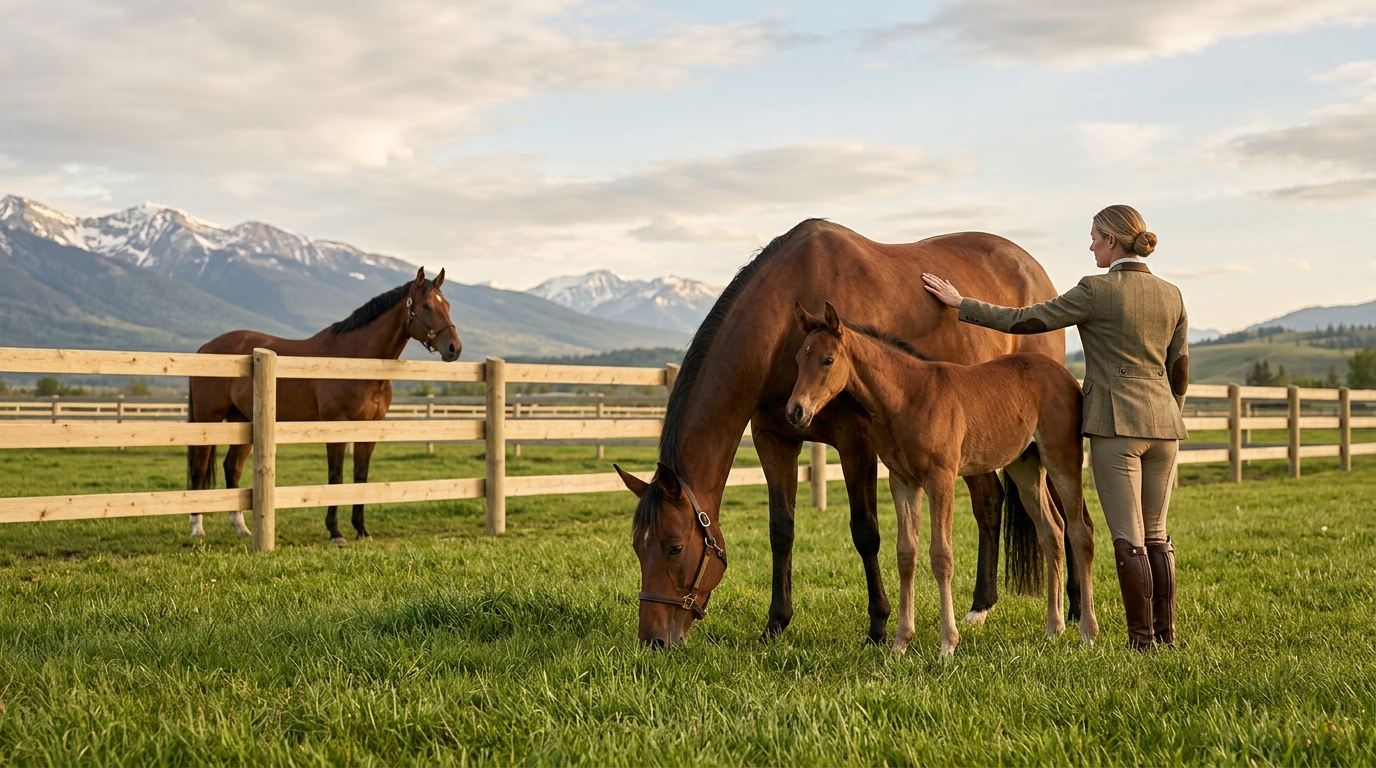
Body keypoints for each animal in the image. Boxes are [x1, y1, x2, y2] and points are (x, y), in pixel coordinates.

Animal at [187, 267, 461, 543]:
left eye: (448, 305)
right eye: (426, 306)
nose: (454, 348)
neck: (355, 361)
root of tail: (206, 347)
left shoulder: (369, 429)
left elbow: (360, 476)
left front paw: (361, 529)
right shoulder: (336, 426)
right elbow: (335, 477)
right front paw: (335, 531)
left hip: (242, 420)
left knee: (232, 467)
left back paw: (241, 527)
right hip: (208, 420)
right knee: (200, 468)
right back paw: (197, 528)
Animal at [786, 302, 1097, 655]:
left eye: (827, 360)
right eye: (799, 358)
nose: (795, 411)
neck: (908, 398)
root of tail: (1067, 376)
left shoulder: (941, 478)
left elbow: (941, 555)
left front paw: (948, 643)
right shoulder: (902, 481)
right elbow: (906, 554)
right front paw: (900, 642)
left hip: (1062, 460)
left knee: (1080, 531)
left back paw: (1087, 631)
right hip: (1025, 467)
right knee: (1052, 531)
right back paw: (1054, 628)